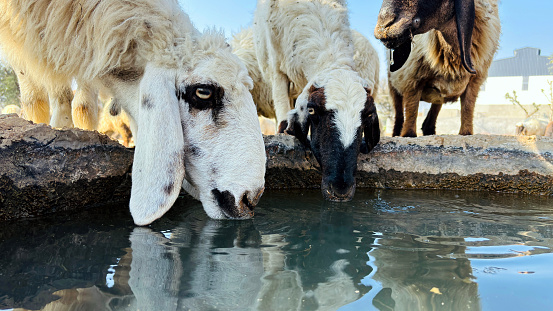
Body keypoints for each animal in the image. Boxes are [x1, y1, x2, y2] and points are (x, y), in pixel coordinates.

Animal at [374, 0, 502, 138]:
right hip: (393, 84)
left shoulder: (474, 83)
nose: (383, 27)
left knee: (428, 121)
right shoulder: (412, 81)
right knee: (399, 116)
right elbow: (409, 126)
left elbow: (467, 122)